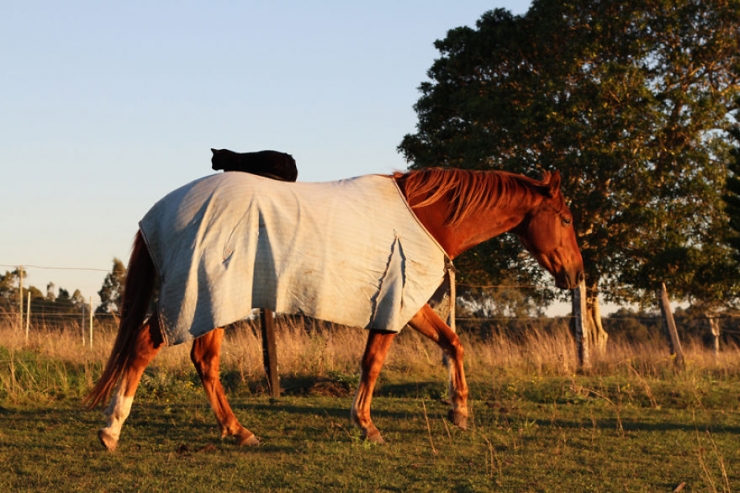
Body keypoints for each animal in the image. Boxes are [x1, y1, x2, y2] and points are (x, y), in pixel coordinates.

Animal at [85, 168, 584, 450]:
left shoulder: (409, 305)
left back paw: (236, 430)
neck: (426, 217)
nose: (576, 274)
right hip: (202, 298)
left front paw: (458, 411)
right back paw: (112, 429)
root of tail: (160, 212)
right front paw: (366, 425)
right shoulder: (393, 302)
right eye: (565, 218)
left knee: (202, 361)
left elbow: (453, 343)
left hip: (215, 302)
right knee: (148, 347)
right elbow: (373, 363)